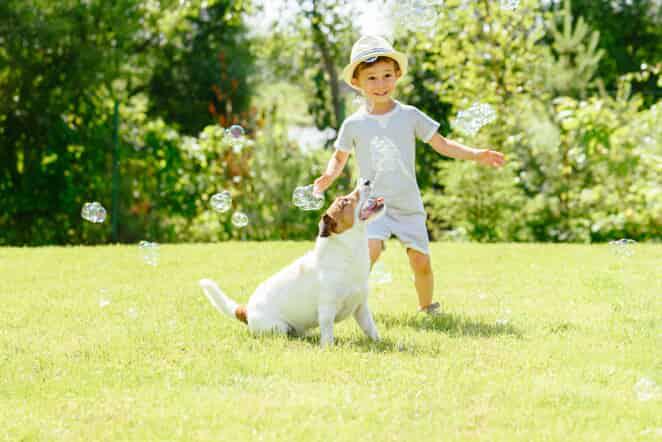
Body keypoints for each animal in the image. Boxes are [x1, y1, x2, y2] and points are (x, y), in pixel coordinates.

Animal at [204, 179, 390, 346]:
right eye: (344, 201)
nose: (366, 181)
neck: (347, 251)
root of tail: (247, 311)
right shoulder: (327, 310)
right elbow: (327, 333)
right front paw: (328, 348)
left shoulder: (361, 308)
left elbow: (371, 329)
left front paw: (379, 343)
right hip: (278, 328)